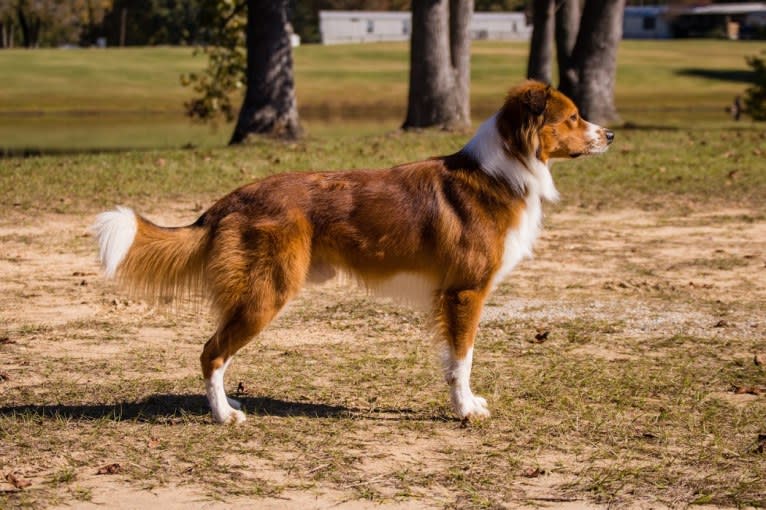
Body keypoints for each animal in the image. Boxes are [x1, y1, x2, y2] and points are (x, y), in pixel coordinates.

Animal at [93, 81, 616, 424]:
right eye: (572, 118)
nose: (610, 135)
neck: (502, 171)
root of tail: (232, 198)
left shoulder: (448, 297)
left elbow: (451, 361)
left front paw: (463, 404)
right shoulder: (465, 293)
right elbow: (463, 359)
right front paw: (465, 410)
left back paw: (227, 404)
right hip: (266, 293)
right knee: (211, 353)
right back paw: (224, 415)